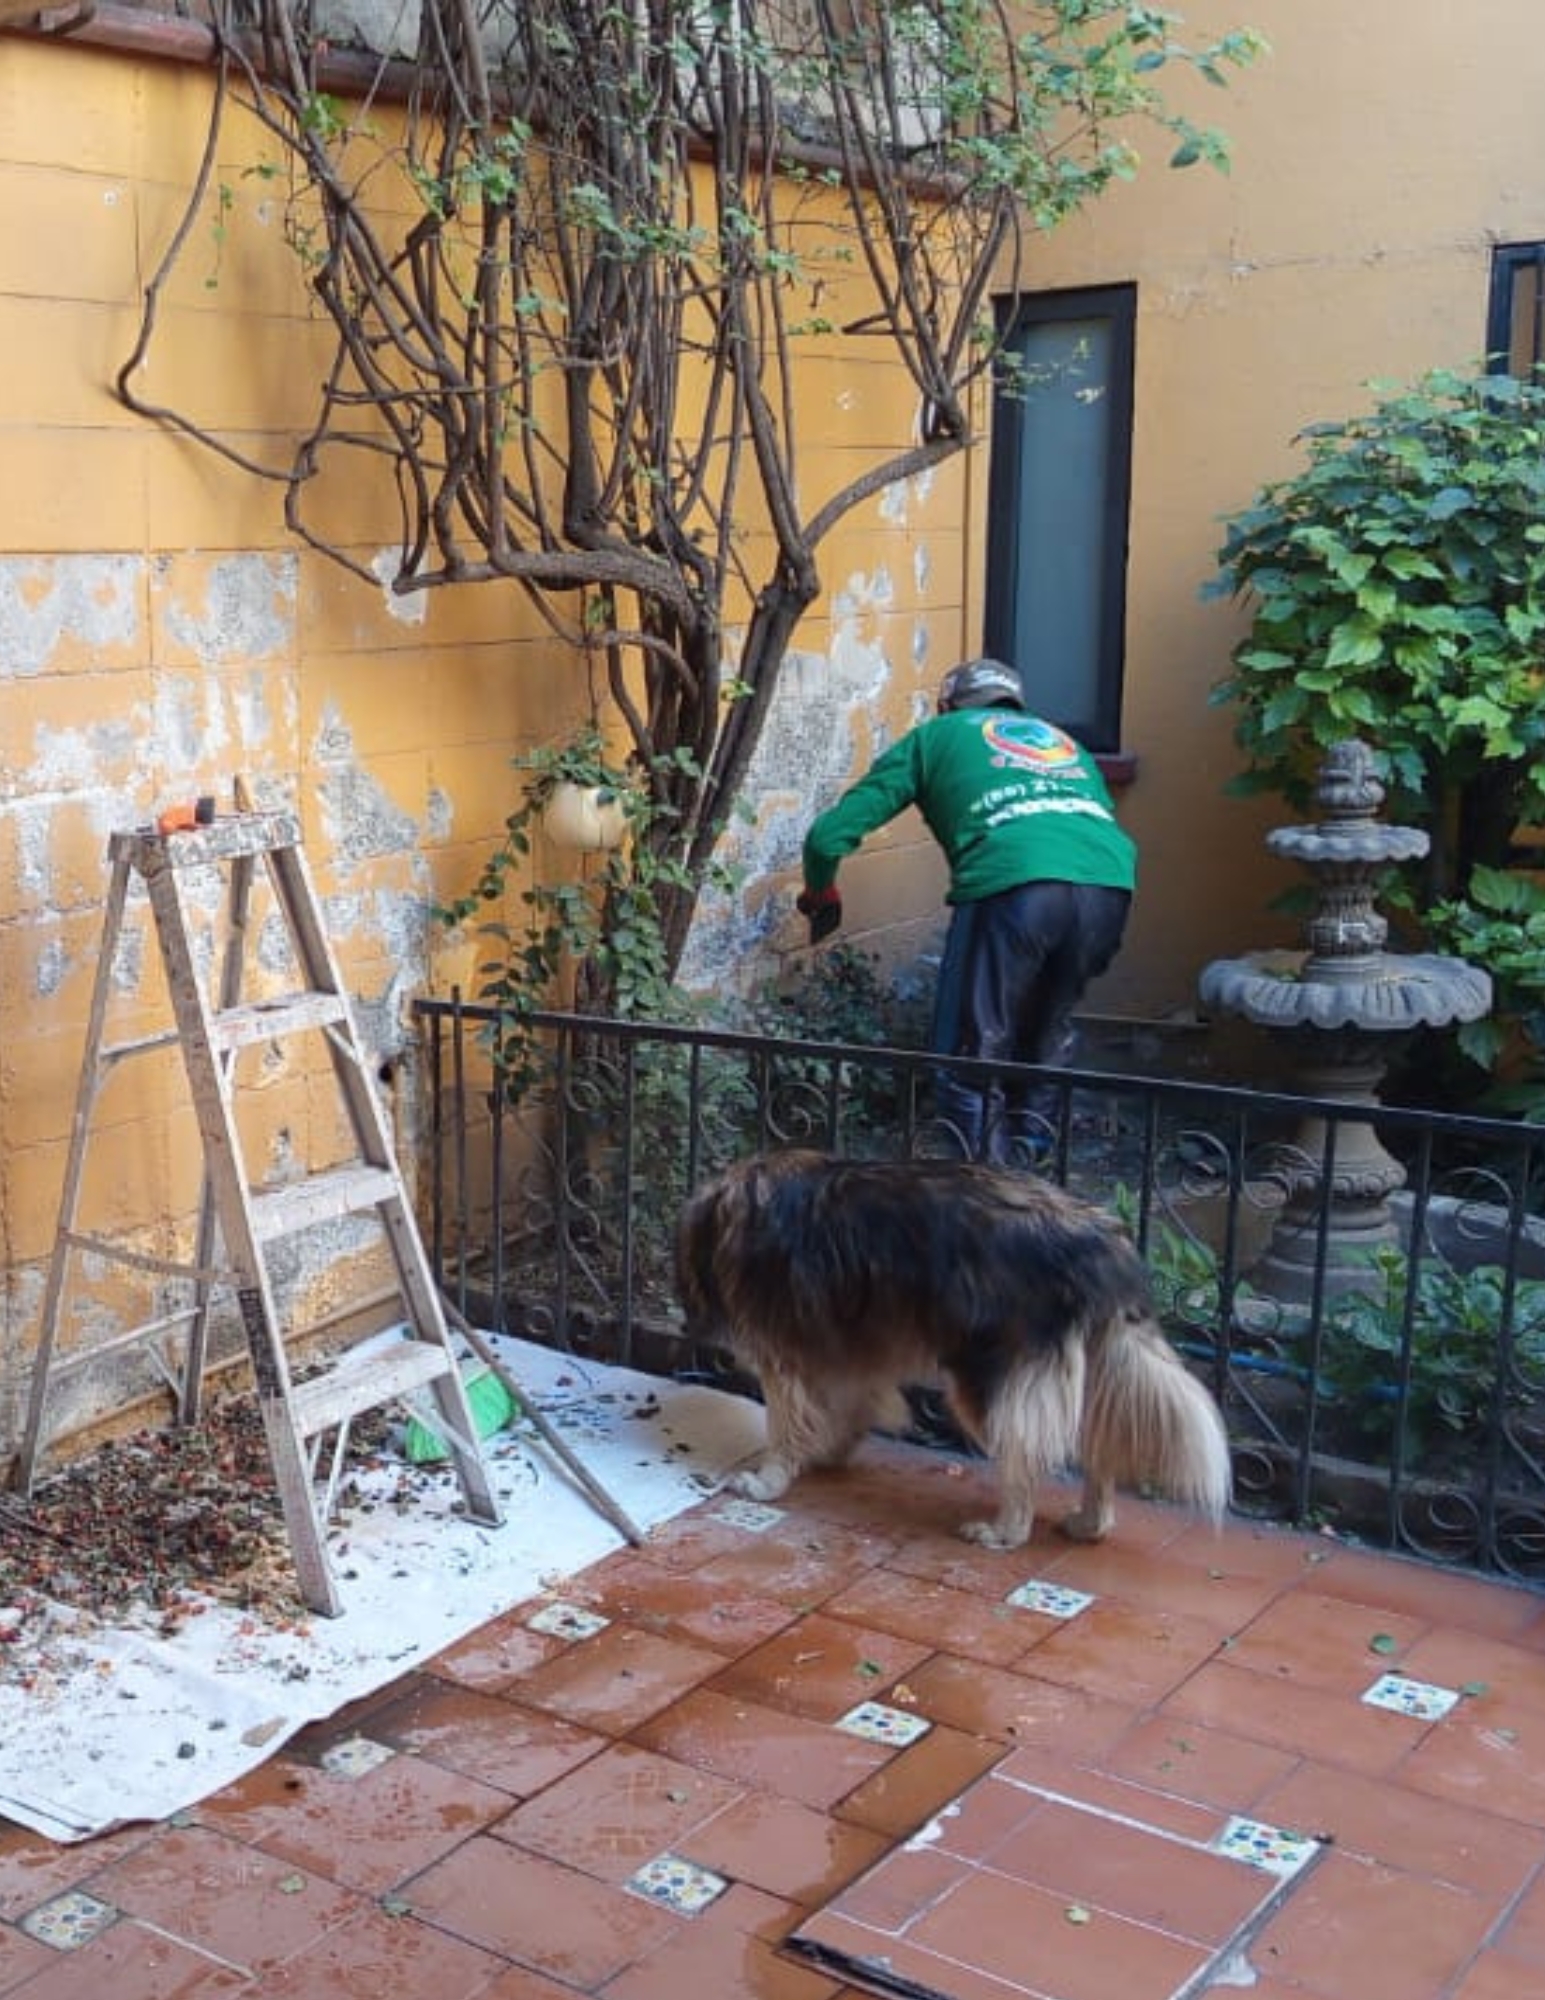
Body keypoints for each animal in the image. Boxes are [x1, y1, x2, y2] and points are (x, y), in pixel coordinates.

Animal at [675, 1149, 1231, 1548]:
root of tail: (1099, 1239)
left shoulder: (786, 1355)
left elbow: (786, 1424)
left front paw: (769, 1480)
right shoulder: (848, 1348)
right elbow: (847, 1404)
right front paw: (829, 1451)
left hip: (988, 1376)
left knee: (1026, 1455)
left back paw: (1005, 1531)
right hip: (1085, 1372)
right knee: (1097, 1446)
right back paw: (1090, 1523)